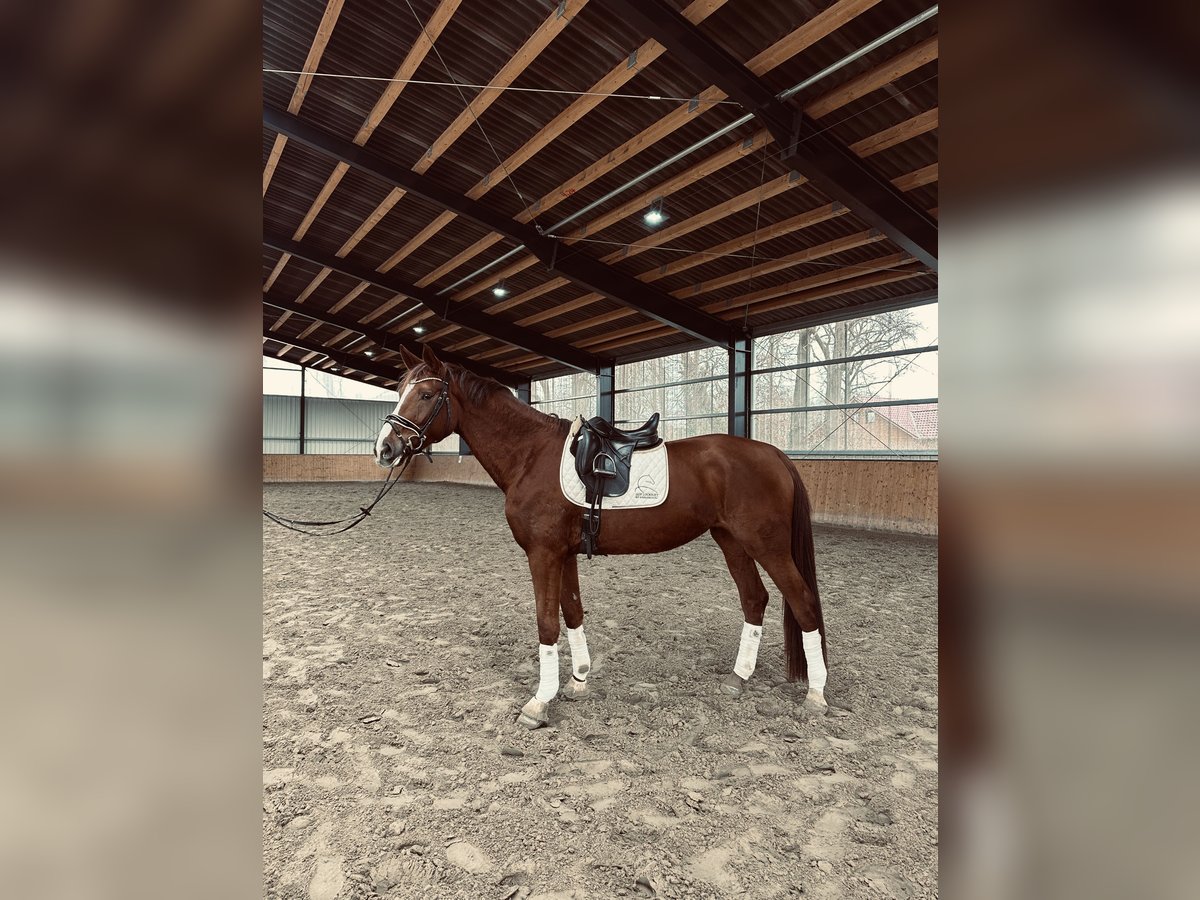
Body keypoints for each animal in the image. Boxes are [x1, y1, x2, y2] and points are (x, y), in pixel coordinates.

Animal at [374, 348, 825, 734]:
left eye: (426, 394)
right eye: (399, 391)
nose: (385, 447)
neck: (530, 456)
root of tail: (774, 454)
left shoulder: (543, 554)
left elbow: (547, 622)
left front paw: (539, 703)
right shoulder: (564, 554)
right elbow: (572, 612)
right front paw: (578, 681)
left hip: (766, 545)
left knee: (802, 600)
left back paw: (816, 694)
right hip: (731, 540)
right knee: (754, 599)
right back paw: (738, 678)